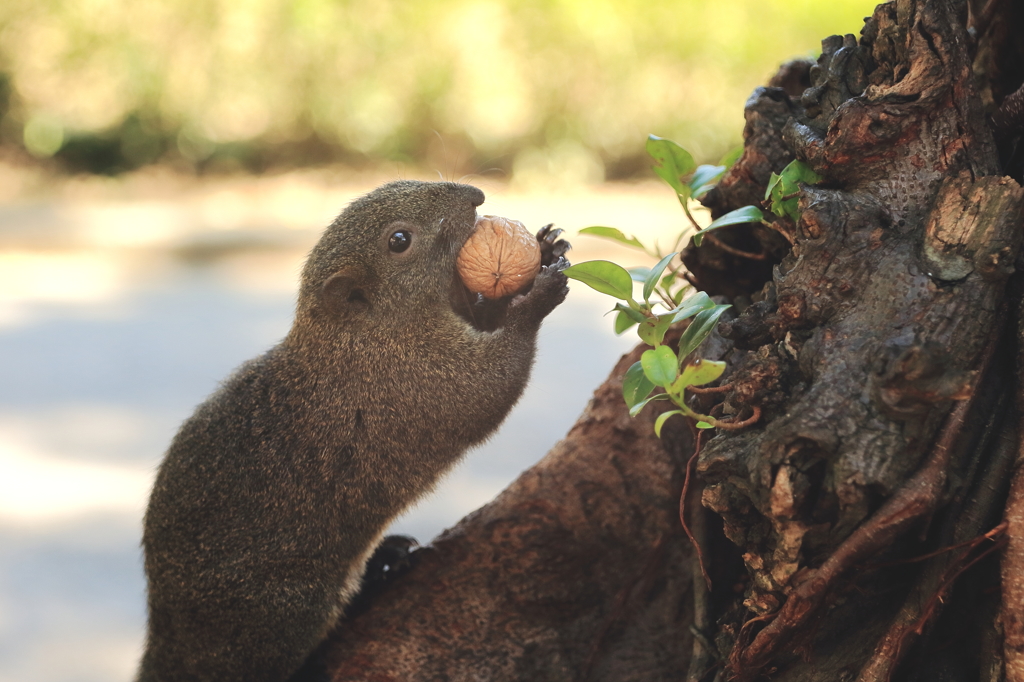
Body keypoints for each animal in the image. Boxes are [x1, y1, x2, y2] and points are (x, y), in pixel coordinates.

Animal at [136, 180, 573, 679]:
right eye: (399, 240)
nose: (475, 195)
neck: (362, 338)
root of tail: (167, 641)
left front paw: (546, 247)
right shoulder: (417, 383)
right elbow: (490, 384)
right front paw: (537, 297)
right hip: (285, 607)